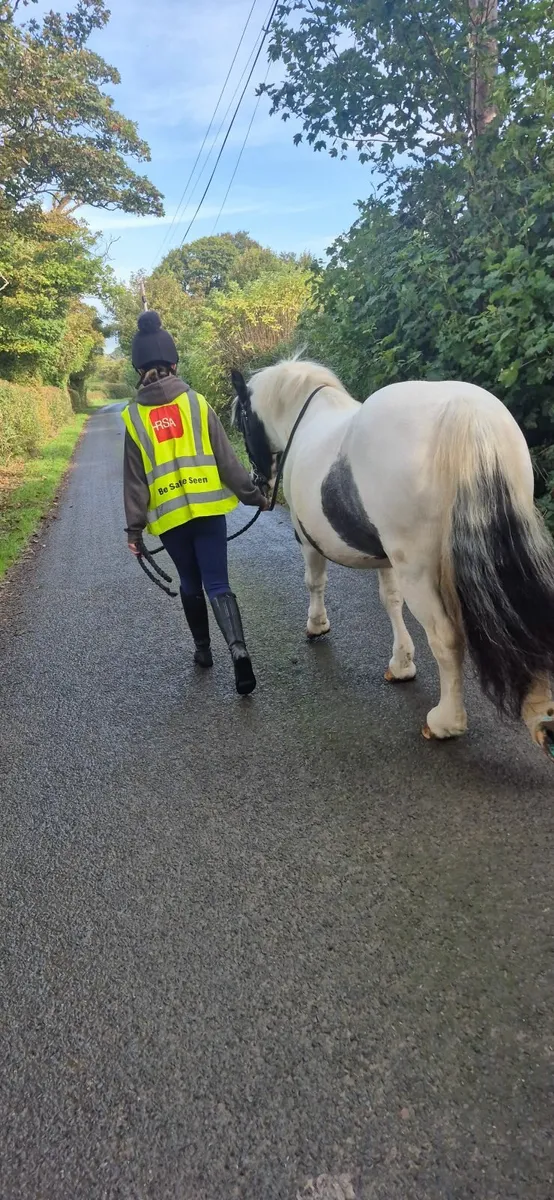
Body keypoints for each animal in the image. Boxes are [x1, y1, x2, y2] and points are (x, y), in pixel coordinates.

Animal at [231, 358, 554, 760]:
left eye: (242, 419)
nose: (258, 483)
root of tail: (464, 413)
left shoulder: (307, 542)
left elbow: (315, 582)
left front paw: (317, 625)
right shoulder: (385, 557)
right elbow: (391, 601)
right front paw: (401, 664)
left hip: (417, 568)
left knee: (446, 638)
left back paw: (445, 722)